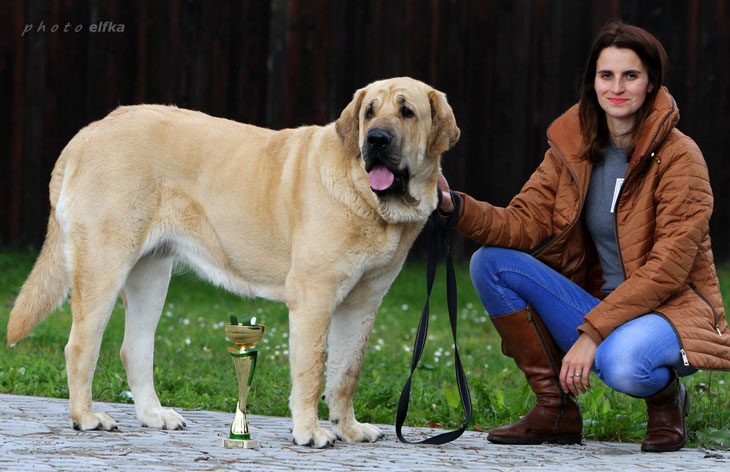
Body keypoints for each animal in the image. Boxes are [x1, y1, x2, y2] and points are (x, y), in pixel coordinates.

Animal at [5, 76, 458, 446]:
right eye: (369, 112)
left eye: (407, 112)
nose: (376, 139)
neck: (370, 200)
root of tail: (88, 132)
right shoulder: (315, 297)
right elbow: (312, 372)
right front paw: (309, 431)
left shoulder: (363, 303)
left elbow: (346, 373)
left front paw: (348, 428)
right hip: (104, 264)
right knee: (81, 345)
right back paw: (85, 417)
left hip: (151, 275)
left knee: (134, 348)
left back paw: (155, 416)